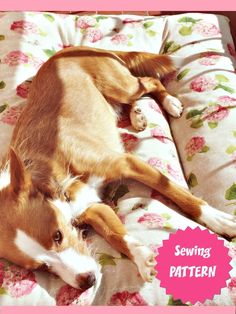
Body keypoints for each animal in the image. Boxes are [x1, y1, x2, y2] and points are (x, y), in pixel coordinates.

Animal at [0, 46, 236, 300]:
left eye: (57, 235)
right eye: (42, 267)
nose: (88, 281)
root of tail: (73, 48)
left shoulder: (127, 163)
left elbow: (176, 192)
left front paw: (216, 219)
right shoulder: (93, 208)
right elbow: (115, 234)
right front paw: (140, 256)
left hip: (121, 85)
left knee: (149, 81)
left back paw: (170, 102)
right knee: (135, 97)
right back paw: (137, 115)